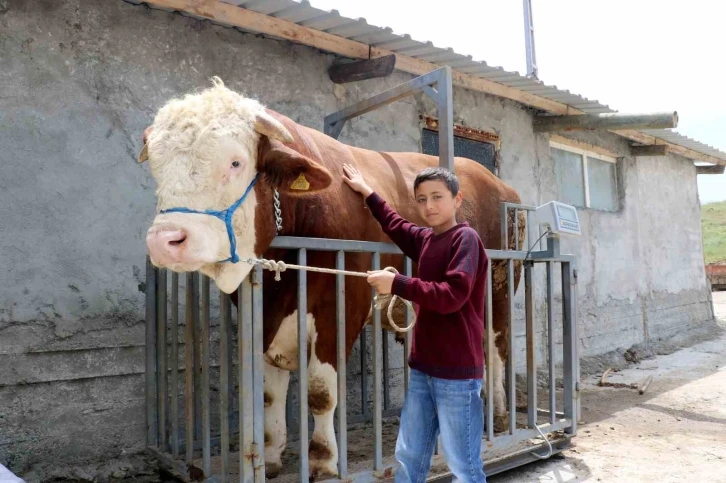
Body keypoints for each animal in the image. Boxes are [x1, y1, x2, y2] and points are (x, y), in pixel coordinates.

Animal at [142, 79, 528, 480]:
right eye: (156, 166)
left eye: (235, 162)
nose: (165, 240)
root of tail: (501, 186)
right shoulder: (267, 318)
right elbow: (269, 392)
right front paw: (271, 453)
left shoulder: (340, 307)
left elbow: (320, 391)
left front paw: (324, 460)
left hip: (500, 285)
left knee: (496, 345)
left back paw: (499, 415)